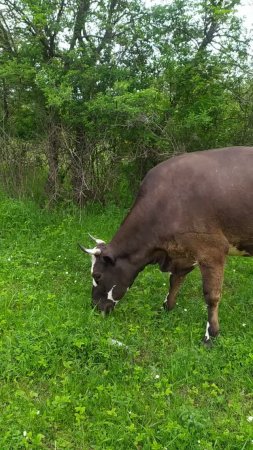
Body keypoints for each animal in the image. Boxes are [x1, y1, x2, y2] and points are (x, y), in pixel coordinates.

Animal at [80, 146, 253, 342]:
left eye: (97, 275)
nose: (94, 307)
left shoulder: (212, 251)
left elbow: (212, 295)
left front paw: (211, 334)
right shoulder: (184, 253)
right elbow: (175, 281)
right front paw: (166, 308)